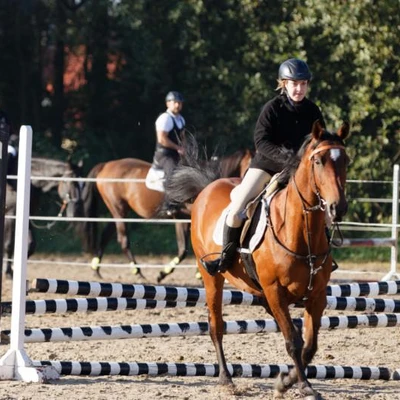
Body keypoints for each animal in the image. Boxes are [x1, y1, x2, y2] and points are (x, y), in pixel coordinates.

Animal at [79, 148, 253, 282]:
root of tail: (106, 165)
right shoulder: (182, 219)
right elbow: (183, 250)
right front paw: (163, 274)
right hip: (119, 210)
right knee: (123, 240)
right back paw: (138, 272)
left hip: (119, 211)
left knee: (106, 236)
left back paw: (96, 270)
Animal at [164, 122, 348, 400]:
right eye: (319, 161)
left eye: (345, 160)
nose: (339, 208)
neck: (300, 231)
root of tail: (208, 187)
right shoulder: (275, 291)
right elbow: (293, 341)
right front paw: (300, 385)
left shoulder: (316, 295)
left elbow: (309, 344)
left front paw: (289, 380)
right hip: (212, 278)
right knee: (216, 327)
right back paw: (226, 379)